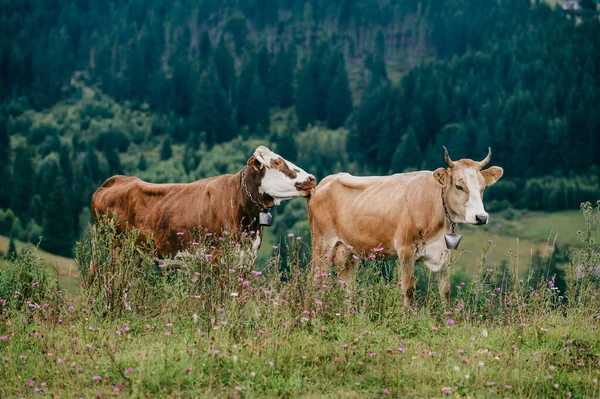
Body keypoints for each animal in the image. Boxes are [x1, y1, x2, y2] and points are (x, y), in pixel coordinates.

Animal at [91, 145, 316, 258]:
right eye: (277, 161)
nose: (312, 178)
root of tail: (116, 180)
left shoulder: (247, 257)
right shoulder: (218, 255)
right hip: (110, 248)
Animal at [308, 147, 504, 306]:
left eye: (483, 187)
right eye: (459, 186)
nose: (481, 217)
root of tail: (325, 182)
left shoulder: (444, 252)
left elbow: (445, 290)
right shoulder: (406, 250)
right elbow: (408, 289)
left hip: (348, 253)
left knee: (346, 287)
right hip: (322, 245)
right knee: (316, 281)